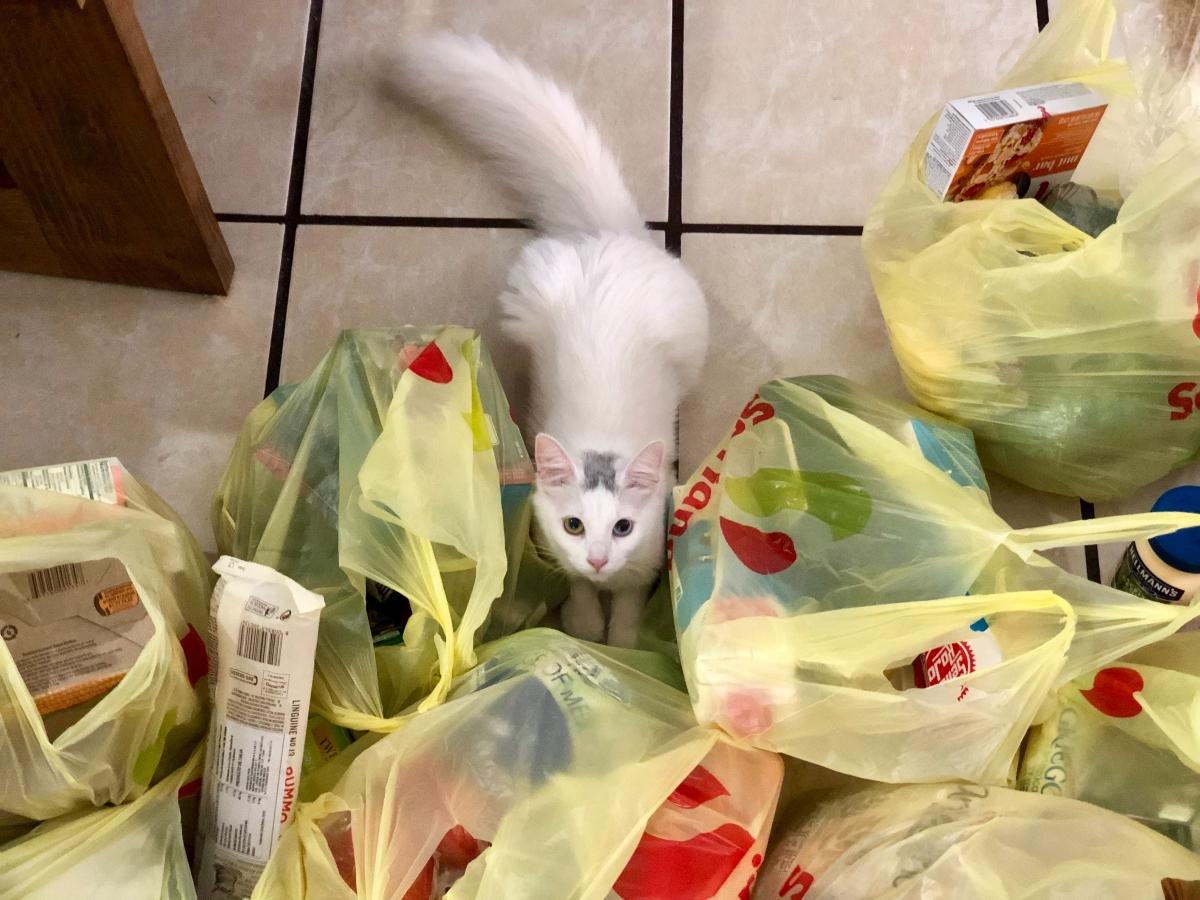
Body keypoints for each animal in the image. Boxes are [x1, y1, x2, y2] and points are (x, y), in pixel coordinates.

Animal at [398, 35, 705, 648]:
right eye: (574, 525)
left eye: (623, 527)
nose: (598, 557)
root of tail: (608, 235)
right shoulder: (552, 542)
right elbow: (579, 588)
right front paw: (585, 623)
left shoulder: (647, 556)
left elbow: (629, 600)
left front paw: (621, 640)